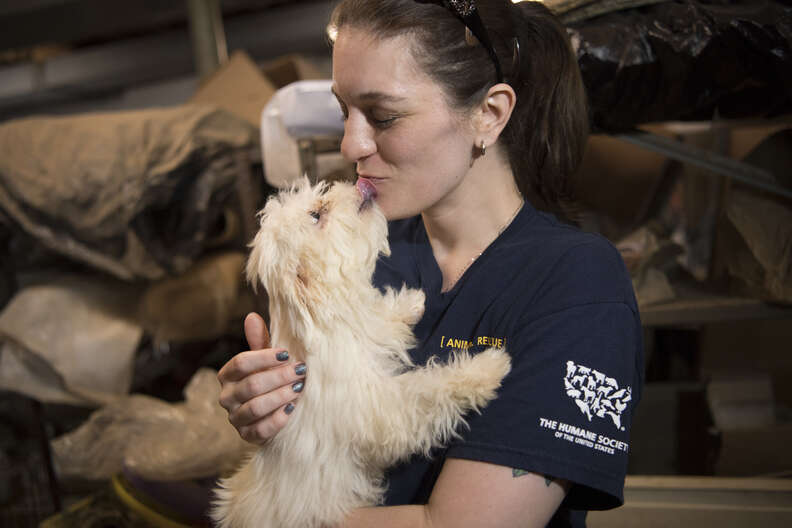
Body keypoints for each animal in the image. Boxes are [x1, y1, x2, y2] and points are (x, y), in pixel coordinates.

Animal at [210, 179, 512, 524]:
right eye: (316, 215)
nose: (357, 185)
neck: (329, 321)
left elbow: (380, 321)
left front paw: (410, 304)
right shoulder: (383, 408)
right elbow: (428, 387)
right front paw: (488, 368)